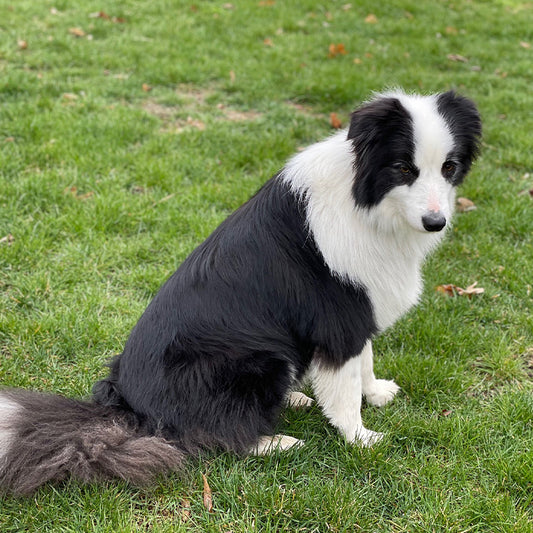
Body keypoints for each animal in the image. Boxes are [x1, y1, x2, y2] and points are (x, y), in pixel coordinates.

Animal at [0, 89, 480, 492]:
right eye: (403, 169)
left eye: (449, 167)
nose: (436, 222)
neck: (368, 204)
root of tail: (128, 408)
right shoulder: (337, 315)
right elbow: (344, 388)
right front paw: (360, 438)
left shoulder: (358, 309)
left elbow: (365, 360)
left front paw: (375, 393)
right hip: (259, 357)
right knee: (215, 434)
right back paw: (276, 443)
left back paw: (293, 400)